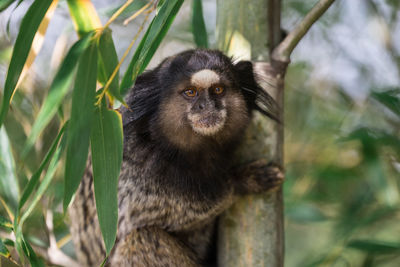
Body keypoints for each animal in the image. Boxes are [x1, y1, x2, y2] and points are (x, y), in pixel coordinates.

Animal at [69, 49, 282, 266]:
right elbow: (151, 210)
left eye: (218, 90)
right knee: (141, 238)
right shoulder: (131, 162)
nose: (206, 106)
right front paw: (242, 180)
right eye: (190, 92)